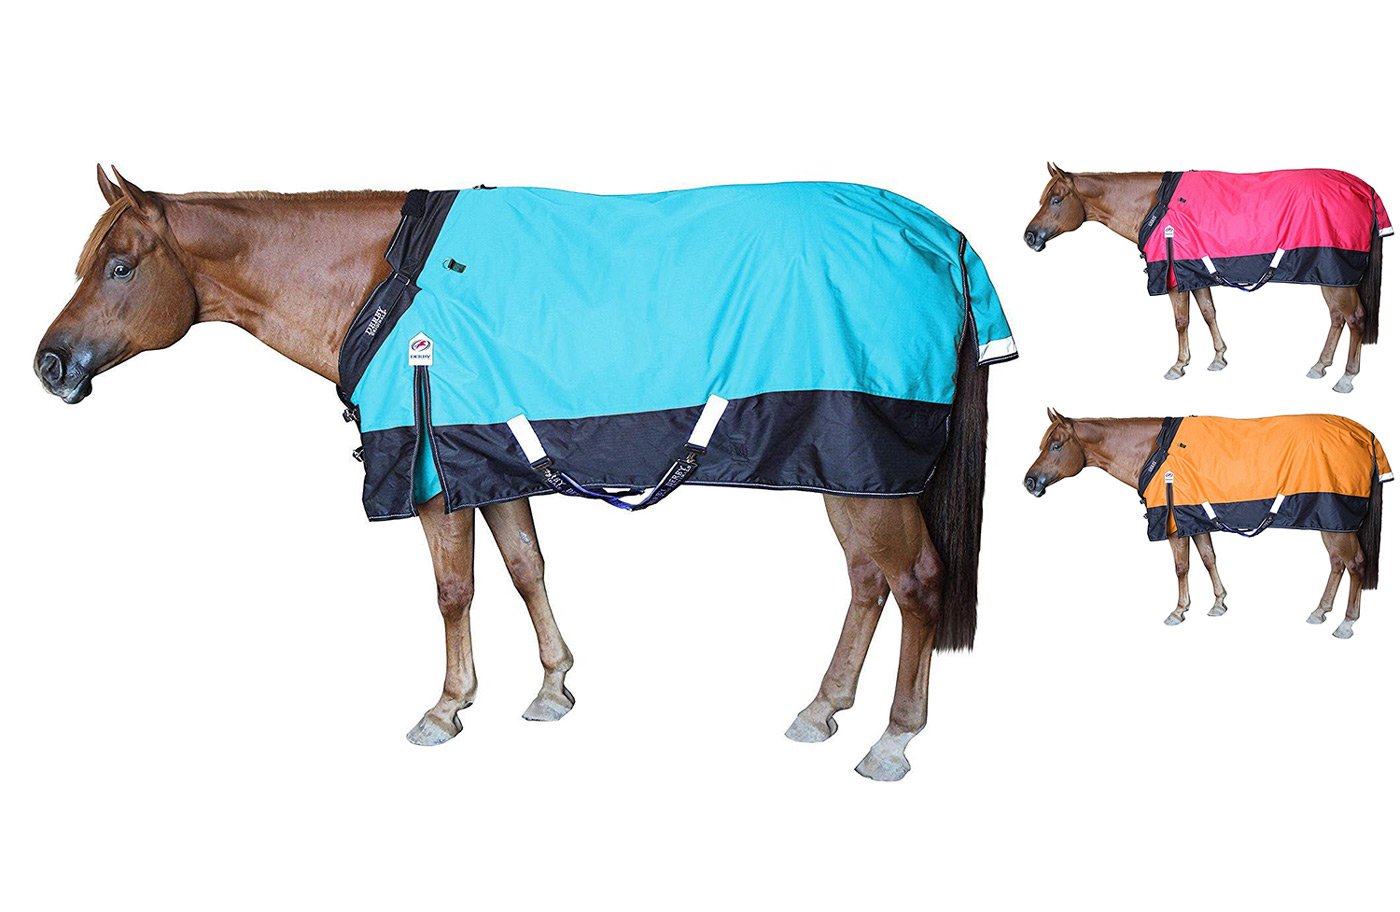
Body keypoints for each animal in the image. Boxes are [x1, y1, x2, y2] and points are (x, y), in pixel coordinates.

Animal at [33, 166, 999, 780]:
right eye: (88, 262)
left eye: (119, 266)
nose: (49, 365)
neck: (386, 284)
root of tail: (942, 236)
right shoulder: (488, 463)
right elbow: (527, 567)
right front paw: (553, 688)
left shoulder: (430, 473)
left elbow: (454, 590)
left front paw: (446, 708)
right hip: (851, 469)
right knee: (868, 582)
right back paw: (820, 709)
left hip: (866, 464)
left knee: (915, 581)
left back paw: (892, 742)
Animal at [1023, 409, 1388, 638]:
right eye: (1043, 444)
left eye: (1056, 445)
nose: (1029, 482)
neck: (1156, 452)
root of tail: (1366, 434)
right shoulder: (1195, 520)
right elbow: (1209, 558)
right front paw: (1218, 603)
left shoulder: (1173, 523)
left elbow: (1182, 567)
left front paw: (1178, 611)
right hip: (1331, 522)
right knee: (1337, 564)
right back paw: (1320, 611)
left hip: (1337, 520)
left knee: (1355, 563)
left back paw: (1346, 623)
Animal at [1024, 164, 1388, 393]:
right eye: (1043, 199)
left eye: (1056, 199)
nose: (1029, 236)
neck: (1155, 207)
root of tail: (1365, 189)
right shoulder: (1194, 273)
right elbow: (1209, 313)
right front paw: (1218, 358)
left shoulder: (1173, 278)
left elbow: (1182, 321)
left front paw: (1178, 365)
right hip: (1330, 276)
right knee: (1337, 318)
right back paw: (1320, 365)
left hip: (1337, 275)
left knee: (1355, 318)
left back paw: (1346, 378)